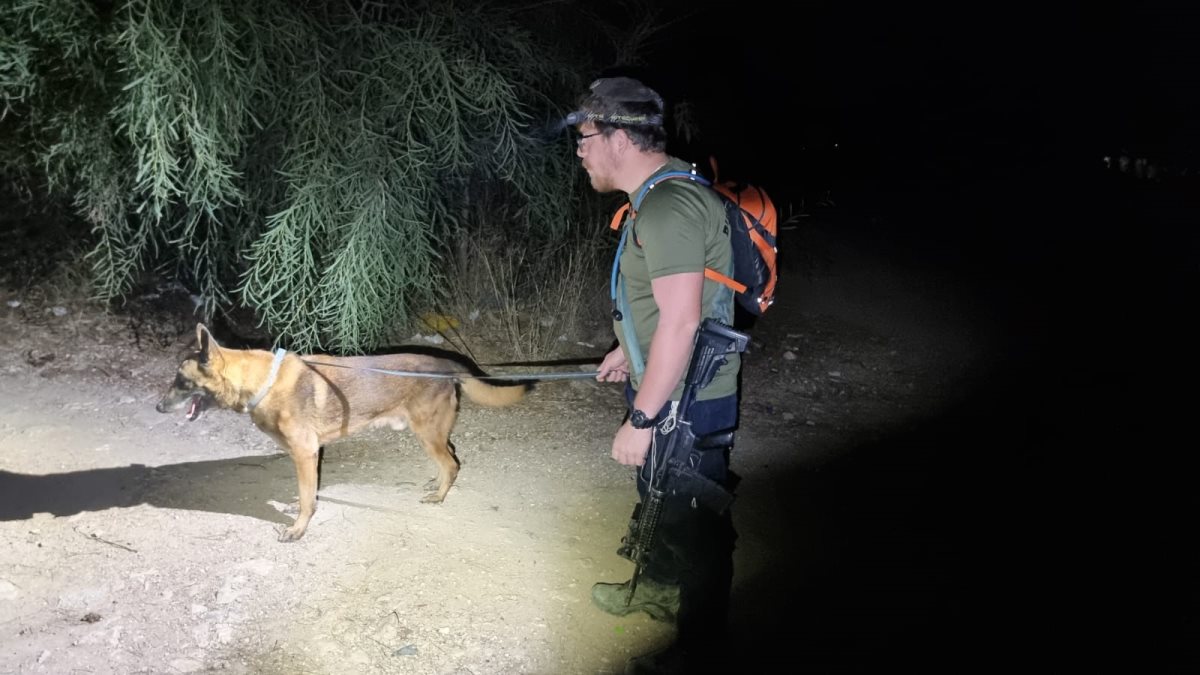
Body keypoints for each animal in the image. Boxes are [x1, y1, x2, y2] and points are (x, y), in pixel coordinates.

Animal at [154, 324, 525, 538]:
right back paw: (435, 484)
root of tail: (445, 364)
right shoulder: (309, 456)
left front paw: (299, 529)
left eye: (181, 381)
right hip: (431, 434)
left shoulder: (305, 453)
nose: (157, 407)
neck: (262, 383)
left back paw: (439, 496)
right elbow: (308, 493)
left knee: (452, 463)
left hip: (427, 433)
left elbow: (307, 499)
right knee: (447, 461)